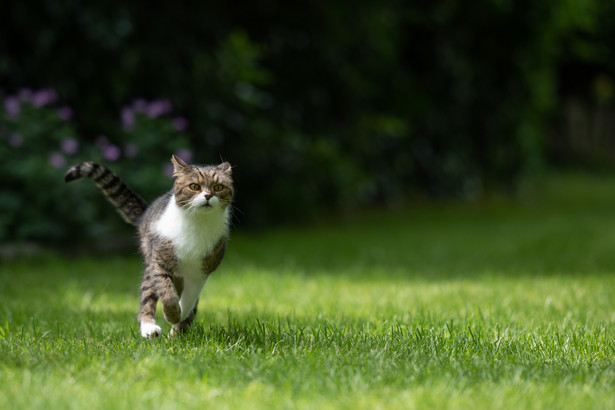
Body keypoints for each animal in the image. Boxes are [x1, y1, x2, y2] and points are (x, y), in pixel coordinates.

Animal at [65, 155, 233, 338]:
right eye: (194, 186)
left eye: (218, 187)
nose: (208, 195)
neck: (197, 223)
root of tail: (145, 214)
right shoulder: (158, 261)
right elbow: (167, 293)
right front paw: (172, 314)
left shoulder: (201, 272)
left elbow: (189, 298)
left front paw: (178, 317)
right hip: (150, 262)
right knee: (147, 297)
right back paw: (149, 328)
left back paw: (176, 334)